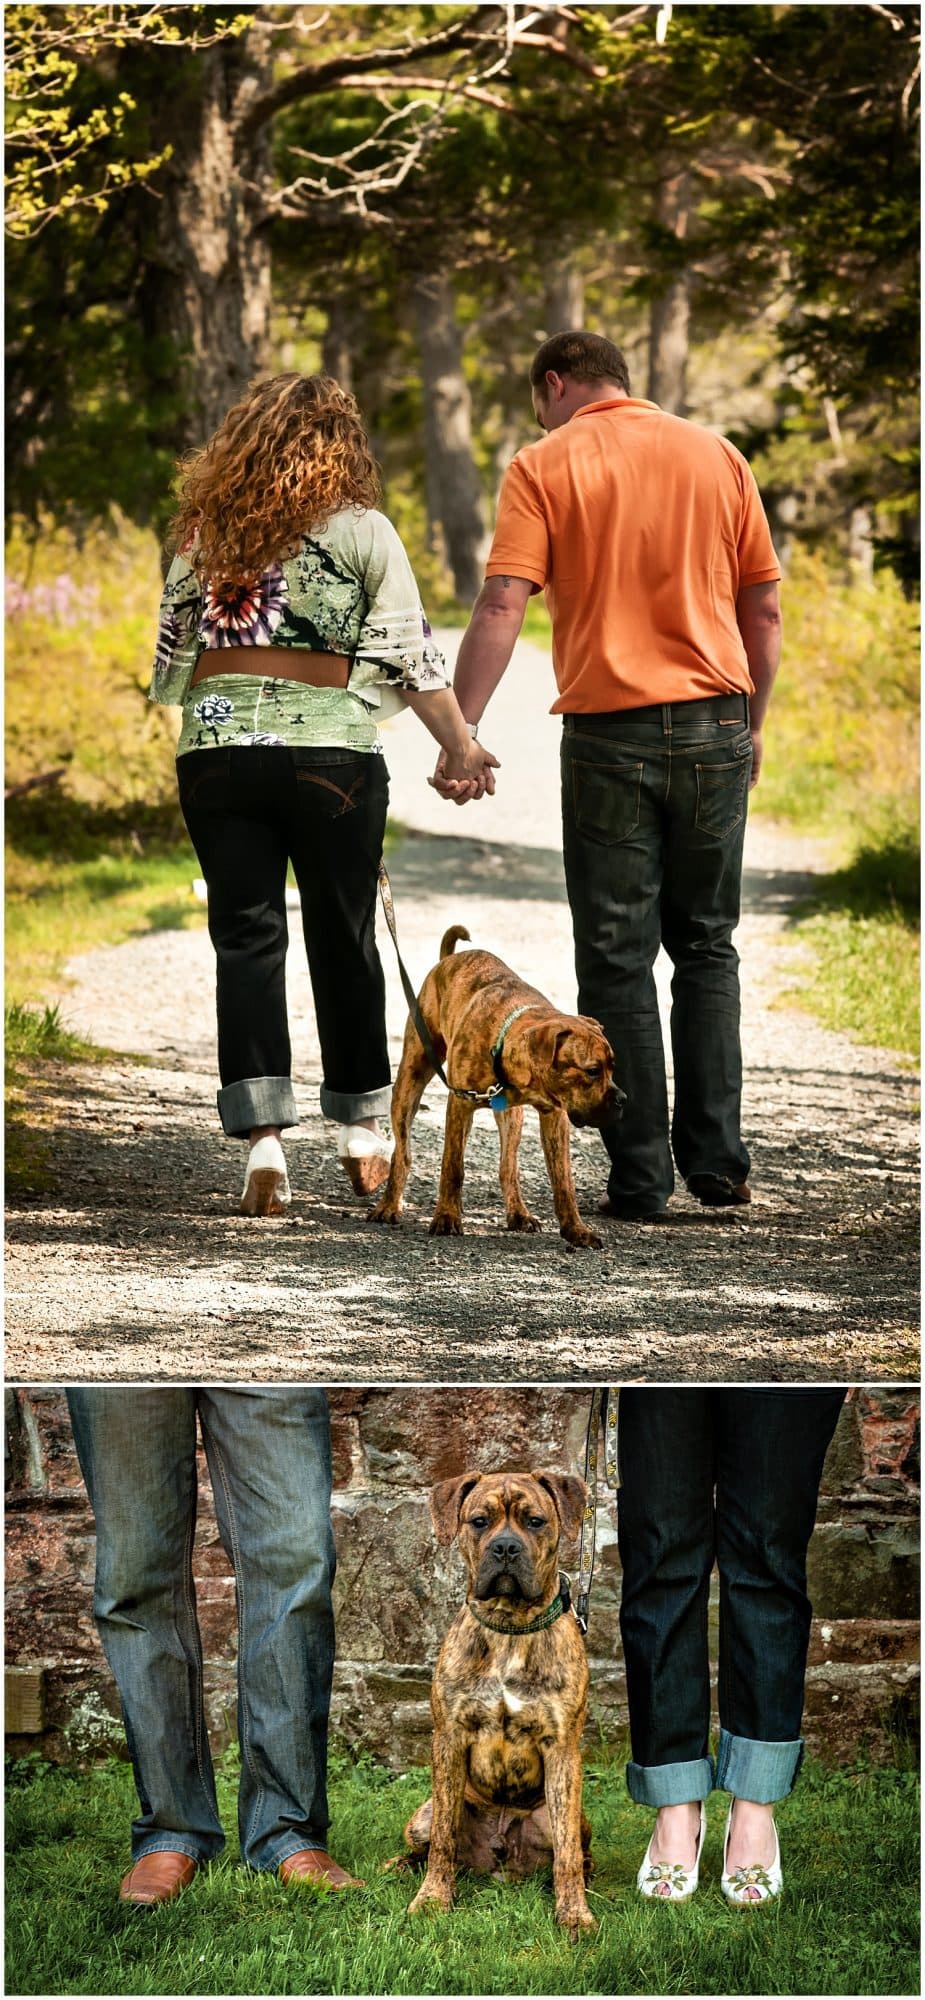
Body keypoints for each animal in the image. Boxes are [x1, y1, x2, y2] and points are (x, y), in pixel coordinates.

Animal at [368, 924, 620, 1248]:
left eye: (612, 1067)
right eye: (592, 1071)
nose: (623, 1099)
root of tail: (447, 960)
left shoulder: (554, 1116)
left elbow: (563, 1180)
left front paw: (575, 1229)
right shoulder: (460, 1104)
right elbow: (453, 1167)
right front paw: (447, 1216)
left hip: (511, 1118)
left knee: (507, 1167)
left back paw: (519, 1213)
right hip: (409, 1084)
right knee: (402, 1153)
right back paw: (389, 1205)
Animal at [404, 1472, 592, 1936]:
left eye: (535, 1521)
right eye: (479, 1521)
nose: (505, 1547)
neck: (510, 1627)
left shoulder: (562, 1748)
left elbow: (566, 1857)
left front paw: (574, 1914)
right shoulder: (448, 1740)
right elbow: (443, 1842)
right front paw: (433, 1898)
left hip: (573, 1818)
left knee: (574, 1851)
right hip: (422, 1817)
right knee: (430, 1843)